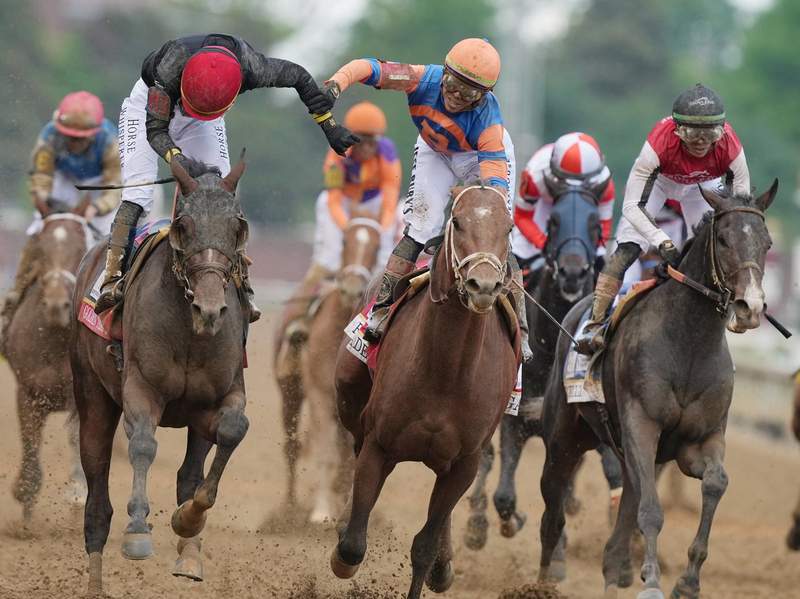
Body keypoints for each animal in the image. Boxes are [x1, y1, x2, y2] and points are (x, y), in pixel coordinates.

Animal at [5, 212, 90, 531]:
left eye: (81, 249)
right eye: (40, 248)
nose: (56, 305)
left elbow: (78, 438)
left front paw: (78, 494)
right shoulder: (28, 393)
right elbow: (30, 442)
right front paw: (25, 501)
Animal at [70, 157, 250, 595]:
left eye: (236, 226)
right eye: (183, 225)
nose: (210, 309)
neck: (189, 329)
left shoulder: (218, 398)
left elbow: (231, 431)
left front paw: (188, 519)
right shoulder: (141, 389)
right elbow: (142, 445)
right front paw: (137, 531)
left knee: (189, 473)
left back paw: (190, 555)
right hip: (91, 395)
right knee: (97, 496)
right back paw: (95, 583)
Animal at [277, 213, 382, 523]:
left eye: (377, 245)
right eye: (345, 240)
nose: (353, 286)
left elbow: (350, 459)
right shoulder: (321, 395)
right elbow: (325, 454)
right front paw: (321, 512)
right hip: (290, 392)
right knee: (292, 447)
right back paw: (290, 509)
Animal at [331, 184, 518, 599]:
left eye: (509, 227)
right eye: (458, 221)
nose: (483, 286)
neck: (448, 371)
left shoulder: (465, 461)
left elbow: (424, 546)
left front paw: (437, 561)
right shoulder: (379, 444)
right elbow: (352, 545)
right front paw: (342, 542)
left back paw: (444, 565)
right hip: (351, 395)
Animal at [538, 182, 776, 599]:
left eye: (766, 243)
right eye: (724, 239)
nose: (751, 306)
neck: (689, 344)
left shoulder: (698, 440)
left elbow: (716, 482)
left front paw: (688, 581)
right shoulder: (642, 426)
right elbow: (650, 510)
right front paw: (651, 581)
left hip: (623, 454)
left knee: (614, 543)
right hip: (564, 439)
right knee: (552, 515)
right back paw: (538, 582)